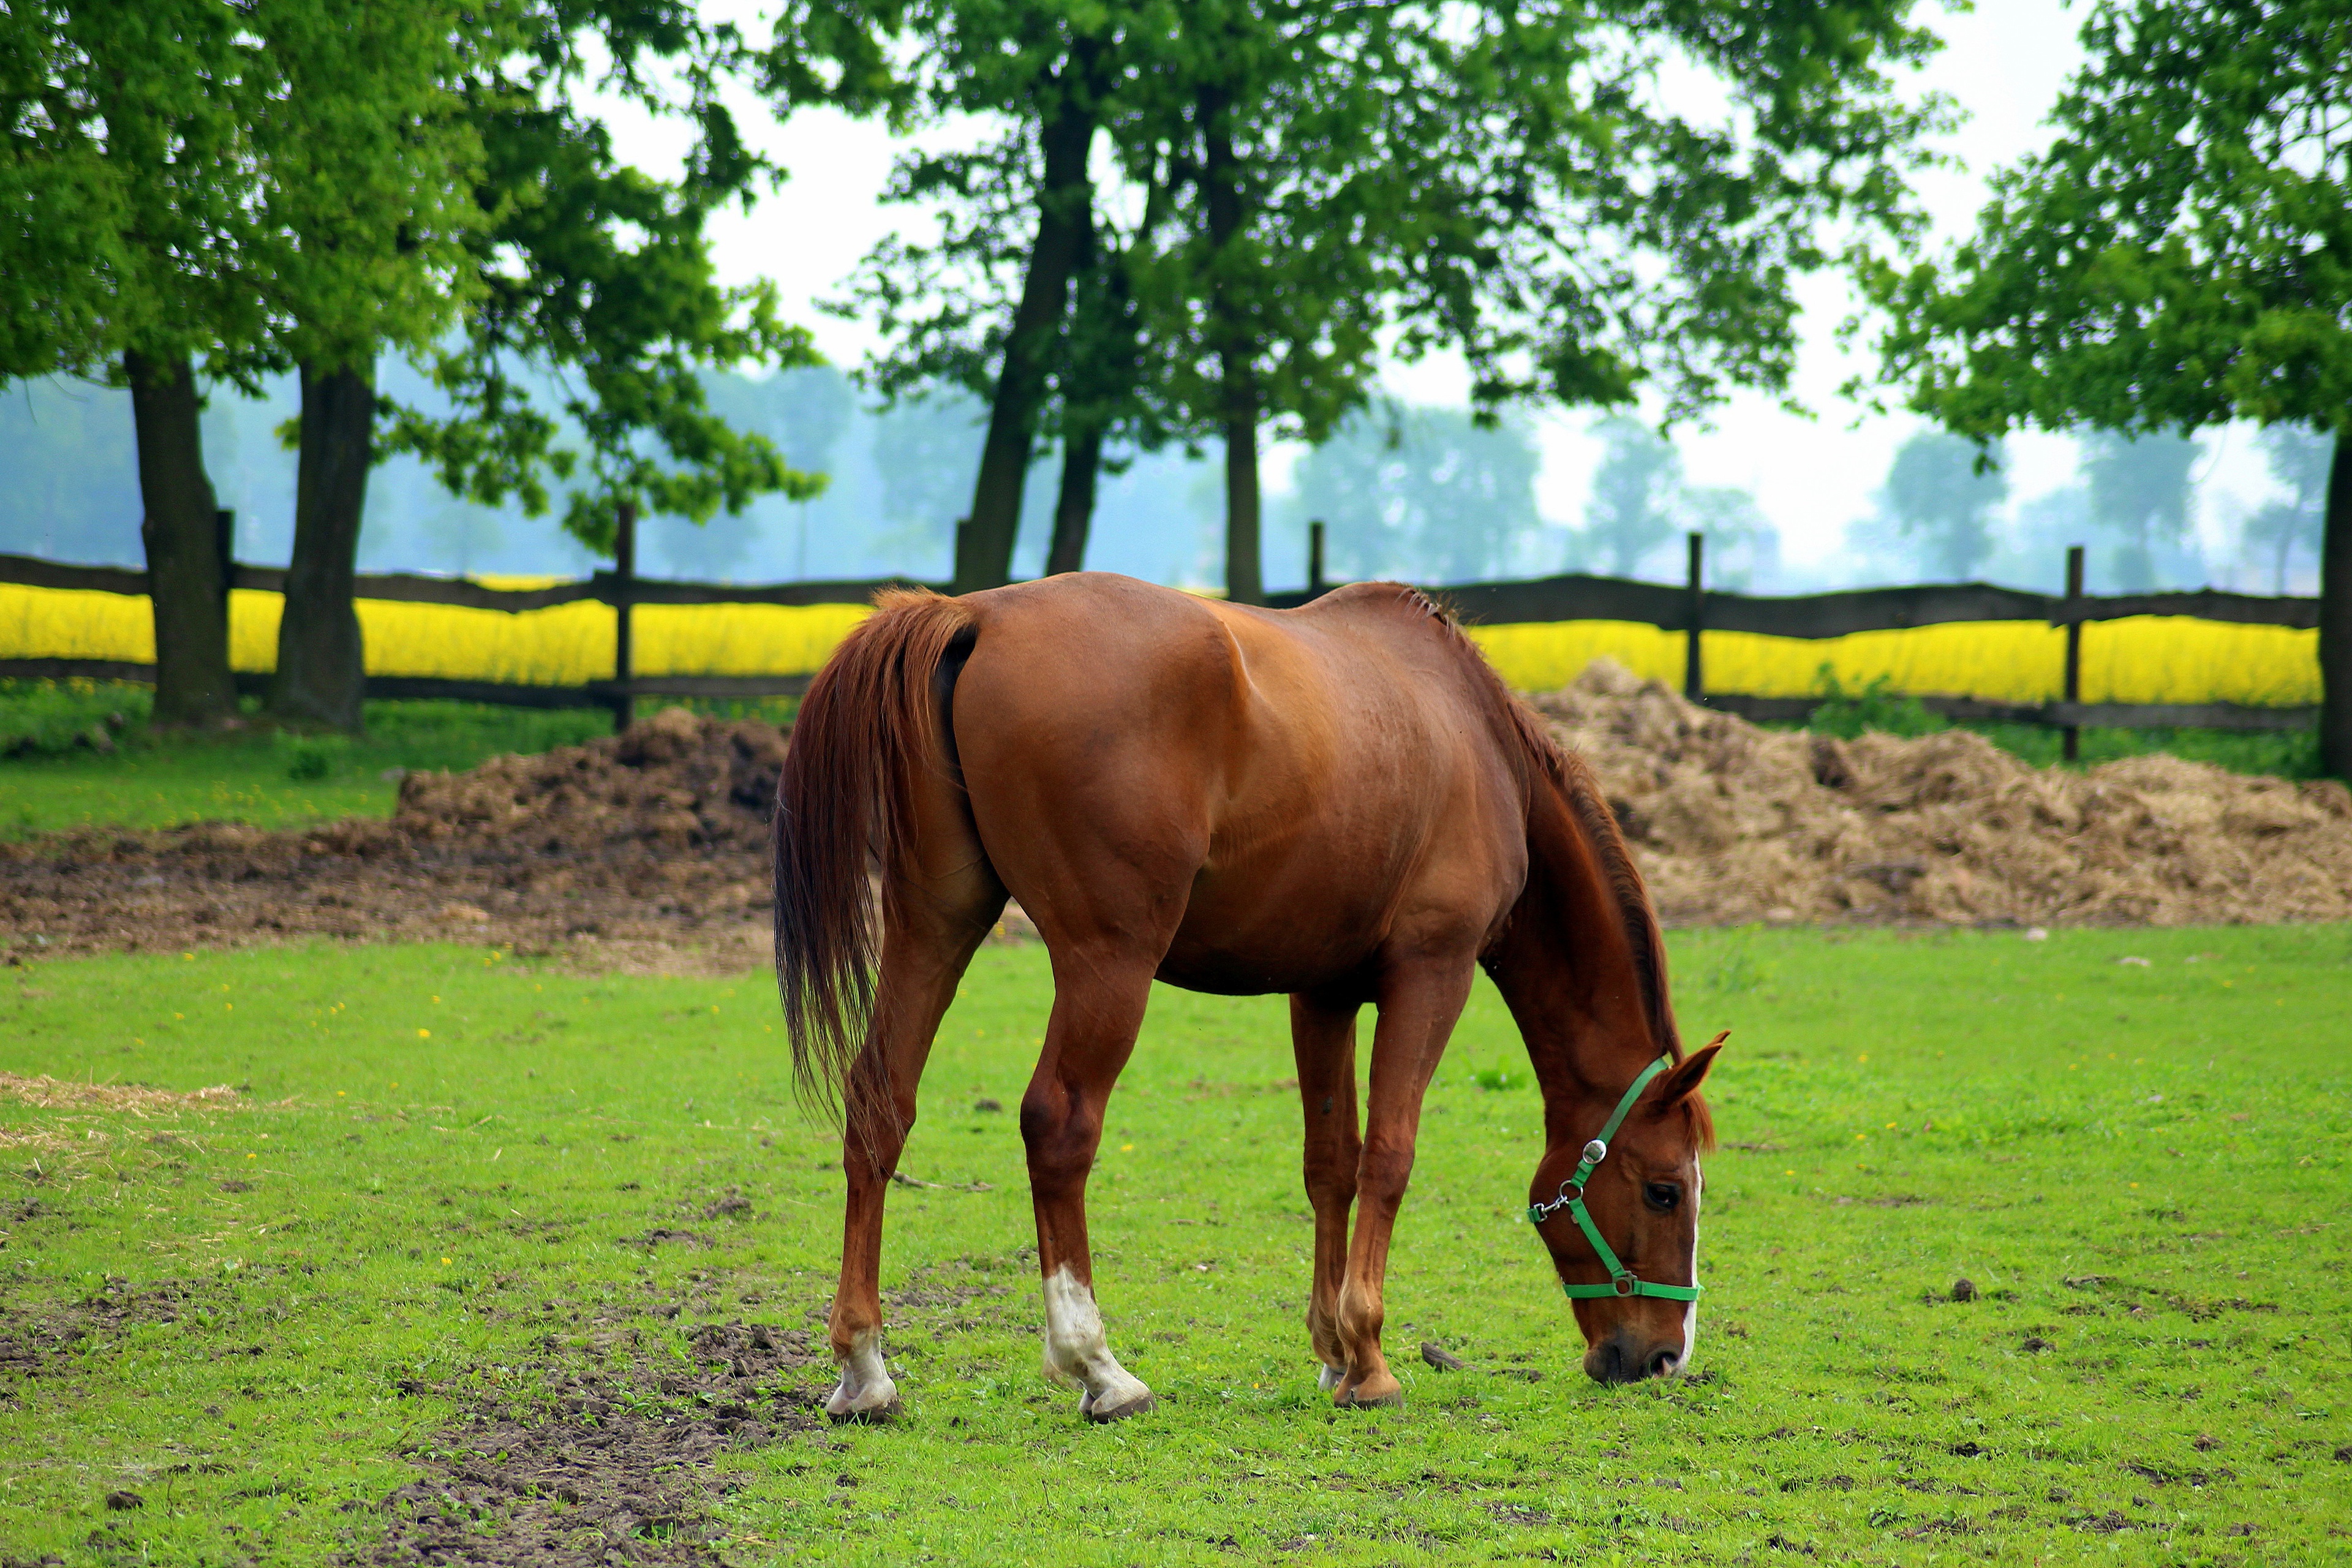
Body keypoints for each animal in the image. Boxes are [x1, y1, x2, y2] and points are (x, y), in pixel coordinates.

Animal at [780, 573, 1721, 1420]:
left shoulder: (1324, 992)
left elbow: (1331, 1162)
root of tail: (975, 613)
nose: (1665, 1356)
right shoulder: (1433, 972)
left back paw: (865, 1371)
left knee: (880, 1106)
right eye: (1665, 1190)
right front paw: (1372, 1360)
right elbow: (1389, 1155)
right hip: (1106, 961)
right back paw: (1098, 1366)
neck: (1477, 742)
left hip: (936, 925)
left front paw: (1335, 1353)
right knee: (1059, 1124)